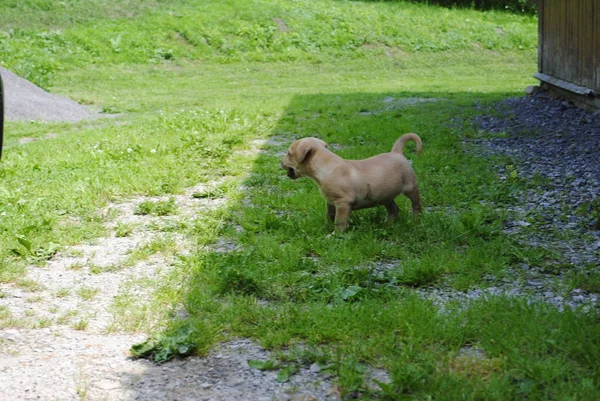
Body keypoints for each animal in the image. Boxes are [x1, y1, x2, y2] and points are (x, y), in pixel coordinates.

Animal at [280, 133, 422, 230]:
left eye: (288, 153)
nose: (279, 161)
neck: (325, 166)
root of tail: (397, 152)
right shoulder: (330, 202)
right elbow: (329, 215)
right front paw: (327, 226)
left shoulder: (343, 202)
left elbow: (340, 221)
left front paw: (335, 235)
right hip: (385, 195)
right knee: (393, 209)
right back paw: (389, 224)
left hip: (411, 187)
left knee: (416, 204)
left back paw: (415, 219)